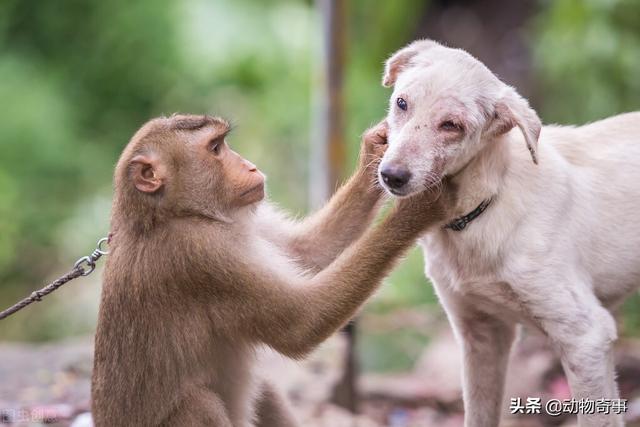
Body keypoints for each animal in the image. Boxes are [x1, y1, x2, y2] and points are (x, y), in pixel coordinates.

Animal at [91, 114, 456, 427]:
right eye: (215, 149)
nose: (250, 166)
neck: (167, 213)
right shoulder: (200, 254)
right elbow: (301, 323)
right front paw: (418, 210)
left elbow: (306, 251)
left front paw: (375, 151)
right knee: (199, 404)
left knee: (263, 389)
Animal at [378, 38, 636, 426]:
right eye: (402, 103)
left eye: (451, 125)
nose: (391, 176)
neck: (485, 207)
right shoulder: (482, 336)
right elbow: (478, 415)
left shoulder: (587, 336)